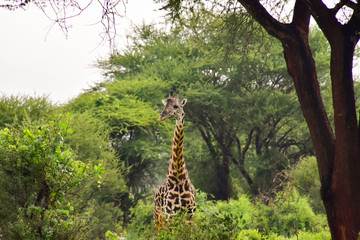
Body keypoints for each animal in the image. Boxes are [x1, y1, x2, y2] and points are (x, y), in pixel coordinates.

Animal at [153, 91, 195, 230]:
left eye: (176, 106)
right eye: (165, 105)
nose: (161, 116)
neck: (178, 177)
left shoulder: (190, 215)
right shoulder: (170, 215)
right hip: (158, 219)